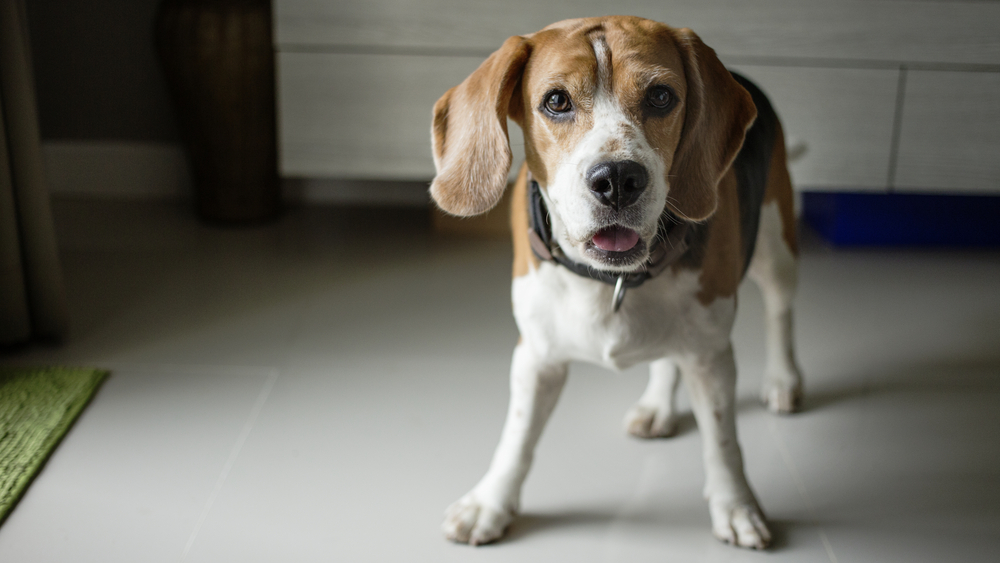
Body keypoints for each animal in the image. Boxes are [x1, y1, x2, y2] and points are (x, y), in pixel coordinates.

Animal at [430, 14, 804, 552]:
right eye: (556, 101)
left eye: (662, 97)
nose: (618, 180)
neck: (615, 278)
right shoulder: (536, 355)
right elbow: (516, 437)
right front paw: (490, 503)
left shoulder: (712, 355)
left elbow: (723, 441)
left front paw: (736, 507)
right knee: (670, 355)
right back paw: (657, 405)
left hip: (776, 246)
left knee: (780, 312)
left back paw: (783, 380)